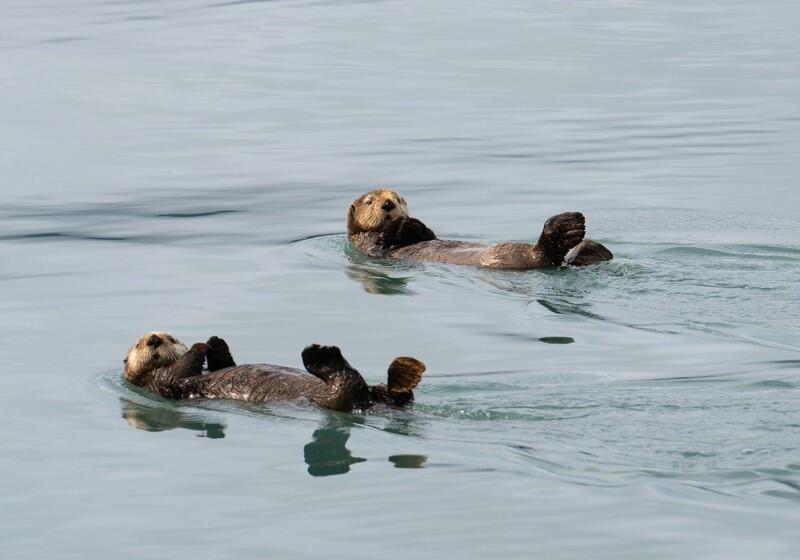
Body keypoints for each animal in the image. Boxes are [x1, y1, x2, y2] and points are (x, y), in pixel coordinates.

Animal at [123, 332, 425, 413]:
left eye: (171, 337)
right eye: (139, 344)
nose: (153, 339)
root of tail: (371, 403)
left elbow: (223, 364)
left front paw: (216, 343)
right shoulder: (161, 383)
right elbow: (178, 371)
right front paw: (199, 345)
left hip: (378, 395)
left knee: (397, 395)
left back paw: (405, 372)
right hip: (334, 399)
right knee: (346, 384)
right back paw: (321, 354)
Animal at [347, 189, 612, 268]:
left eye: (398, 199)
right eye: (370, 201)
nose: (389, 204)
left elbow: (428, 234)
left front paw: (413, 223)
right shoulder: (368, 245)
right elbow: (383, 243)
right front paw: (403, 225)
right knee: (547, 253)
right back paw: (567, 228)